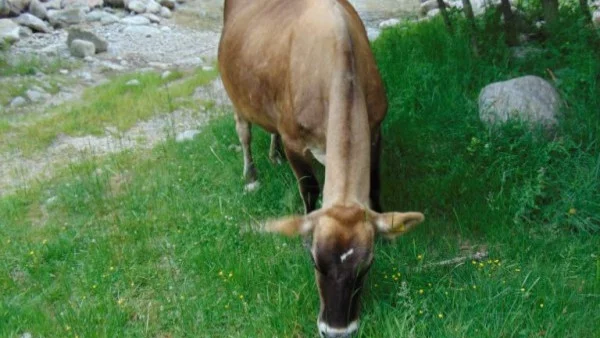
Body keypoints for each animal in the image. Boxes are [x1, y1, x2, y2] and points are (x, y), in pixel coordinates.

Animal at [218, 1, 424, 336]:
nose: (336, 330)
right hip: (236, 95)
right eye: (315, 261)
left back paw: (273, 155)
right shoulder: (294, 140)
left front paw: (389, 236)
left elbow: (375, 184)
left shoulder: (376, 128)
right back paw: (251, 175)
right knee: (244, 131)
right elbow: (308, 187)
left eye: (368, 264)